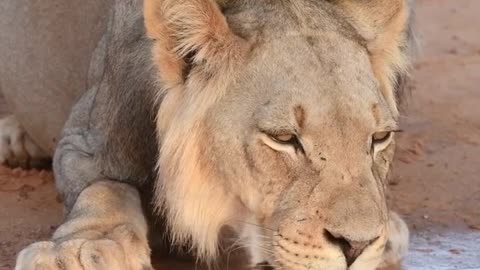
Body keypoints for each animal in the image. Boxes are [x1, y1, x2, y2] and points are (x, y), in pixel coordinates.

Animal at [0, 0, 412, 268]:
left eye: (379, 139)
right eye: (283, 138)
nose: (357, 246)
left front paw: (387, 235)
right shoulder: (85, 141)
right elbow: (104, 187)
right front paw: (80, 251)